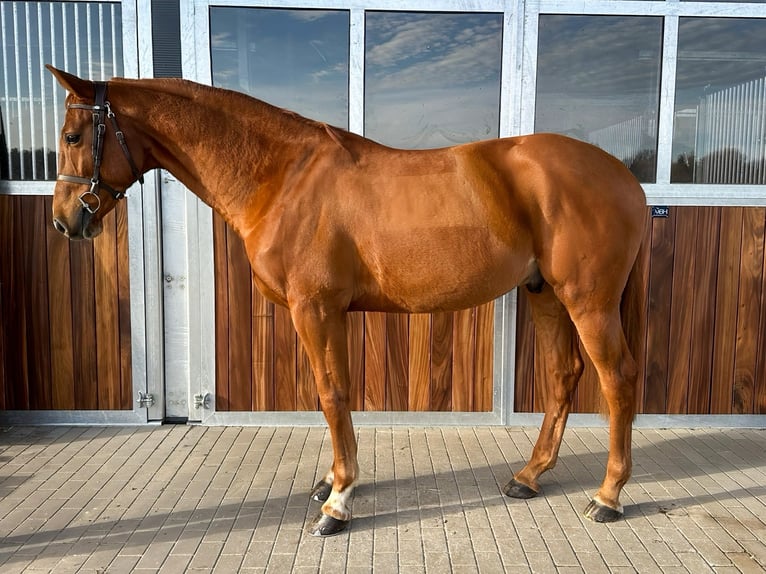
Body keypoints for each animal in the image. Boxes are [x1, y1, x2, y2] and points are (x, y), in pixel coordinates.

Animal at [47, 65, 647, 536]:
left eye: (73, 136)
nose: (65, 222)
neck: (283, 176)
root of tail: (624, 176)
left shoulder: (315, 309)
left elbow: (332, 394)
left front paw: (337, 501)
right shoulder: (323, 313)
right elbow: (330, 396)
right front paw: (330, 482)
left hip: (588, 301)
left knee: (618, 378)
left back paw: (608, 496)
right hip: (544, 293)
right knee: (564, 374)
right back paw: (528, 477)